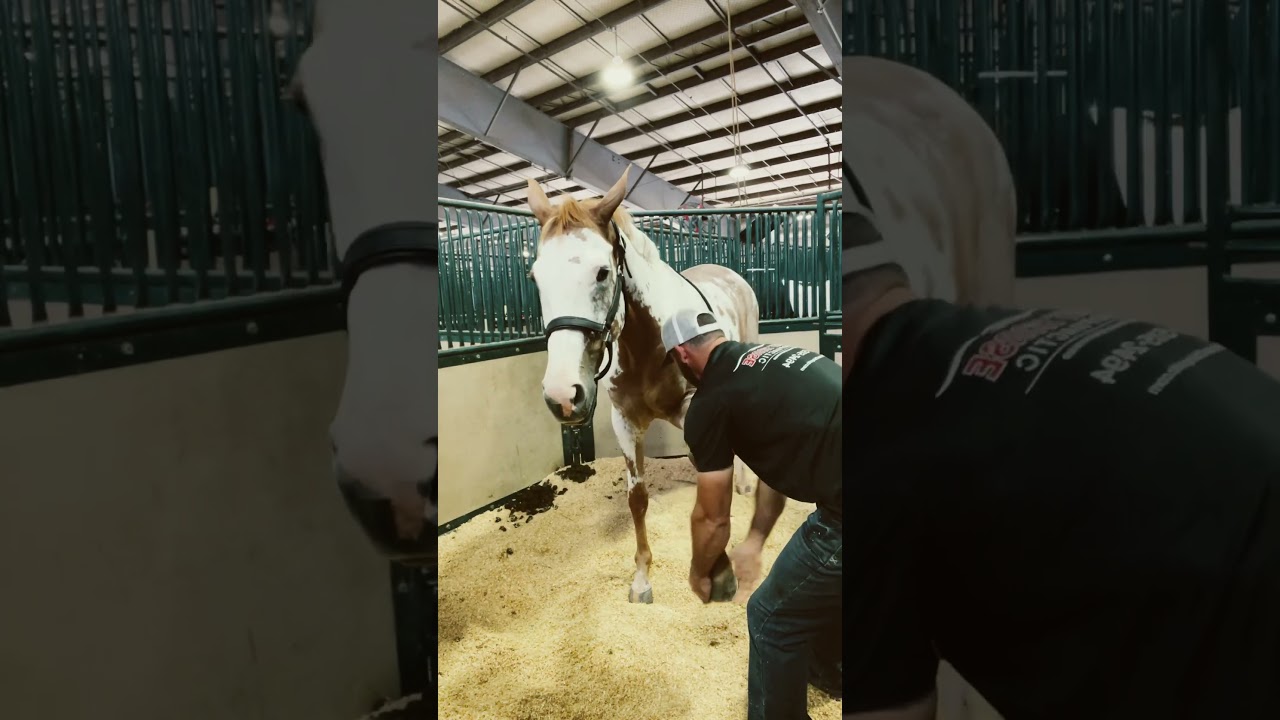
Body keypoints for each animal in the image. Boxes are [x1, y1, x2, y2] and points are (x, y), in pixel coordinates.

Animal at [525, 169, 762, 604]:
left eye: (602, 272)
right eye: (535, 276)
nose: (563, 395)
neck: (652, 344)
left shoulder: (694, 408)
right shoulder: (625, 421)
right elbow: (637, 498)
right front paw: (641, 580)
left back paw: (745, 485)